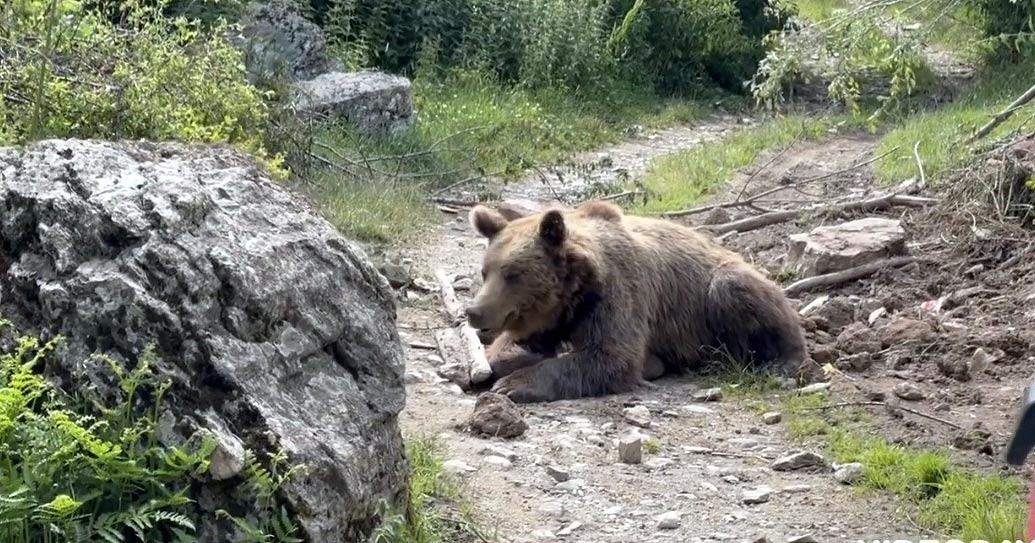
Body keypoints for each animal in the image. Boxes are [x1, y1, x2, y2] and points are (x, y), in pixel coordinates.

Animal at [465, 198, 811, 401]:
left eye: (512, 274)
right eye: (486, 271)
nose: (474, 311)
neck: (572, 298)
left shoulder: (617, 294)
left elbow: (611, 357)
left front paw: (514, 383)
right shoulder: (550, 320)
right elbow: (519, 347)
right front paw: (482, 368)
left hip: (716, 291)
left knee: (741, 295)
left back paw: (781, 361)